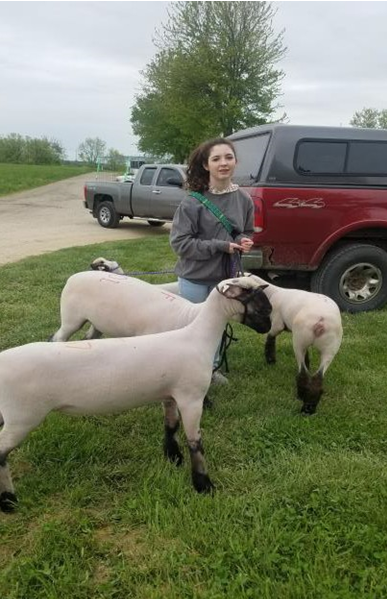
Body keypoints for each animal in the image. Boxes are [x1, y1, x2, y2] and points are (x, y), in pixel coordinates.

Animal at [0, 278, 272, 512]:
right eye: (262, 308)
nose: (267, 327)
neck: (197, 337)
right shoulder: (191, 398)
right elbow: (196, 443)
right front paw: (203, 485)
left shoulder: (170, 395)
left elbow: (170, 426)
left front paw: (173, 458)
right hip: (22, 417)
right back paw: (8, 501)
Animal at [249, 274, 342, 414]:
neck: (273, 292)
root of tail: (321, 322)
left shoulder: (277, 323)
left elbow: (270, 339)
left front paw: (270, 360)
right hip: (330, 347)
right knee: (317, 378)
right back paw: (310, 406)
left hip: (298, 340)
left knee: (302, 373)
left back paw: (302, 399)